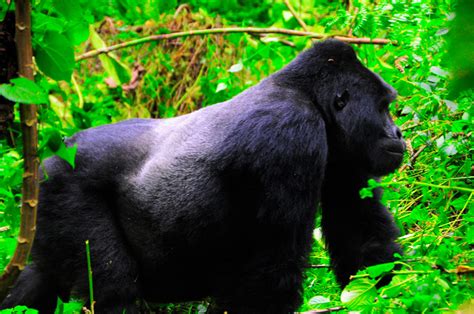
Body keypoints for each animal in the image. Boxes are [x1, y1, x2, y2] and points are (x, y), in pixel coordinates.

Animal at [1, 39, 406, 314]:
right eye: (384, 108)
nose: (399, 134)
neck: (306, 94)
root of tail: (52, 155)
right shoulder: (290, 134)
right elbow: (272, 270)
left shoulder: (344, 152)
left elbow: (360, 234)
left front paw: (393, 293)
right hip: (63, 186)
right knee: (112, 288)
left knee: (41, 276)